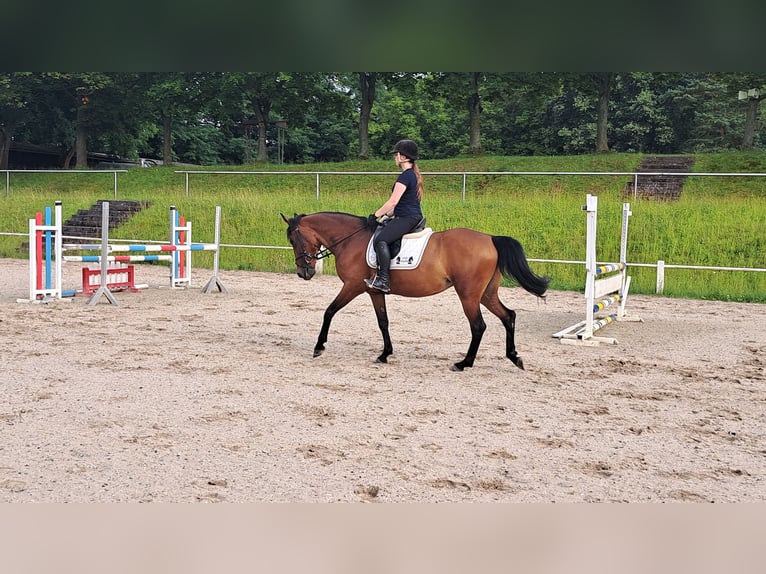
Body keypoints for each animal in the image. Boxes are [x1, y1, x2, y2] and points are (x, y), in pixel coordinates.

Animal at [282, 213, 552, 374]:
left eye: (294, 240)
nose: (304, 272)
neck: (351, 241)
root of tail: (490, 239)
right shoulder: (373, 291)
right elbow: (383, 322)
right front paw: (385, 354)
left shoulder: (352, 287)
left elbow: (329, 311)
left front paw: (319, 347)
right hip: (486, 294)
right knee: (508, 316)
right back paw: (514, 357)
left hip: (468, 295)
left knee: (478, 326)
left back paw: (464, 363)